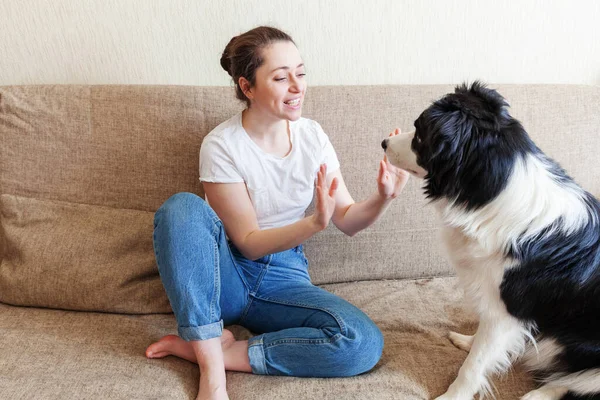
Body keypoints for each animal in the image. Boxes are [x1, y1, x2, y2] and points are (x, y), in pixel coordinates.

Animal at [382, 82, 600, 400]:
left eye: (419, 132)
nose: (384, 142)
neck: (493, 189)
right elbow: (484, 346)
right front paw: (470, 341)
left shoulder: (505, 312)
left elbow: (474, 366)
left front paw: (452, 396)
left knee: (574, 381)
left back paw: (537, 394)